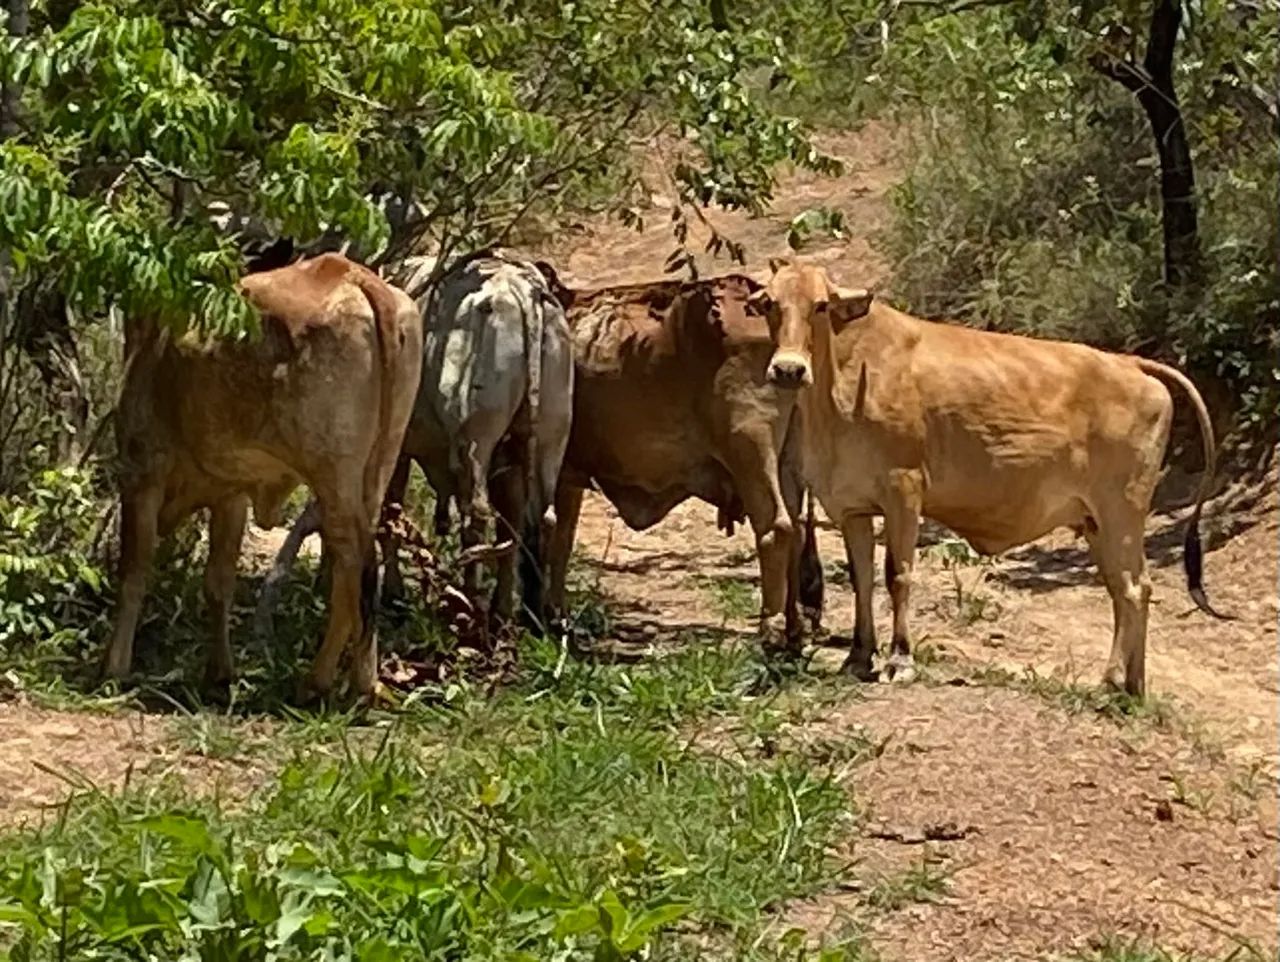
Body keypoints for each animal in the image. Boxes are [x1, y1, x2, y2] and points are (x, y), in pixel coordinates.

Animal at [101, 253, 423, 701]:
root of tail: (352, 275)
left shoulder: (141, 471)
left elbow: (134, 570)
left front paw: (113, 668)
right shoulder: (231, 494)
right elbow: (218, 582)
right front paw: (219, 673)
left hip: (332, 474)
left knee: (352, 568)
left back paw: (322, 683)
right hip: (375, 471)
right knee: (359, 572)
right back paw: (359, 682)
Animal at [254, 250, 573, 632]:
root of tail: (522, 289)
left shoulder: (391, 450)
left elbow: (387, 513)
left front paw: (390, 594)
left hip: (475, 440)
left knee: (477, 515)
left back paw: (471, 608)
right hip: (549, 441)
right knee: (534, 521)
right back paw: (519, 615)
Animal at [534, 266, 823, 649]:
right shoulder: (569, 474)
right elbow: (562, 539)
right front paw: (557, 614)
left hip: (751, 449)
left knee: (776, 527)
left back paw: (771, 630)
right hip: (788, 460)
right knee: (796, 530)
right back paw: (794, 629)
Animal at [756, 258, 1223, 695]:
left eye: (820, 305)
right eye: (770, 305)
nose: (789, 369)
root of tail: (1131, 363)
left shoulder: (904, 490)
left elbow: (897, 575)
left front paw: (899, 661)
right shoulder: (851, 506)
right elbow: (863, 579)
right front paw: (857, 657)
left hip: (1122, 510)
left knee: (1134, 588)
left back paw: (1113, 682)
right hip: (1097, 522)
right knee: (1121, 590)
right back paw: (1132, 686)